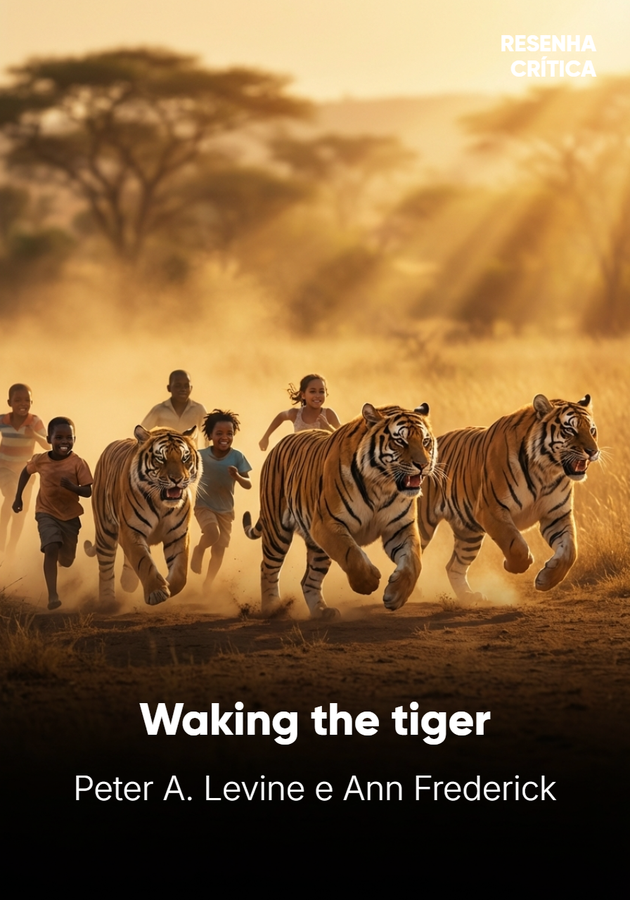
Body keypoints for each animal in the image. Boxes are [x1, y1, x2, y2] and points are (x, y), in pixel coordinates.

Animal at [85, 425, 200, 610]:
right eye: (161, 458)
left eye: (185, 458)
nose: (177, 479)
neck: (161, 503)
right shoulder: (131, 531)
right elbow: (143, 561)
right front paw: (157, 592)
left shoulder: (179, 534)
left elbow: (181, 572)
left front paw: (169, 586)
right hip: (105, 530)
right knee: (106, 567)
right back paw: (107, 602)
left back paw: (128, 582)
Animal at [243, 403, 436, 619]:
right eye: (400, 441)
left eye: (426, 441)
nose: (423, 465)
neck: (382, 486)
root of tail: (280, 443)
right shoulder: (326, 524)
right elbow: (351, 554)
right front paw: (368, 582)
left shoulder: (400, 528)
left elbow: (413, 562)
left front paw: (395, 595)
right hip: (277, 531)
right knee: (268, 568)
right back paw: (271, 609)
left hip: (318, 549)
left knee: (309, 579)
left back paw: (321, 611)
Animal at [417, 394, 600, 603]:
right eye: (570, 430)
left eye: (592, 431)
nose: (593, 451)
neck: (545, 472)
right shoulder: (491, 510)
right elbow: (514, 545)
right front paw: (515, 566)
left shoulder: (556, 515)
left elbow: (570, 551)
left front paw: (547, 579)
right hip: (422, 524)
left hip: (468, 533)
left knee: (453, 566)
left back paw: (469, 597)